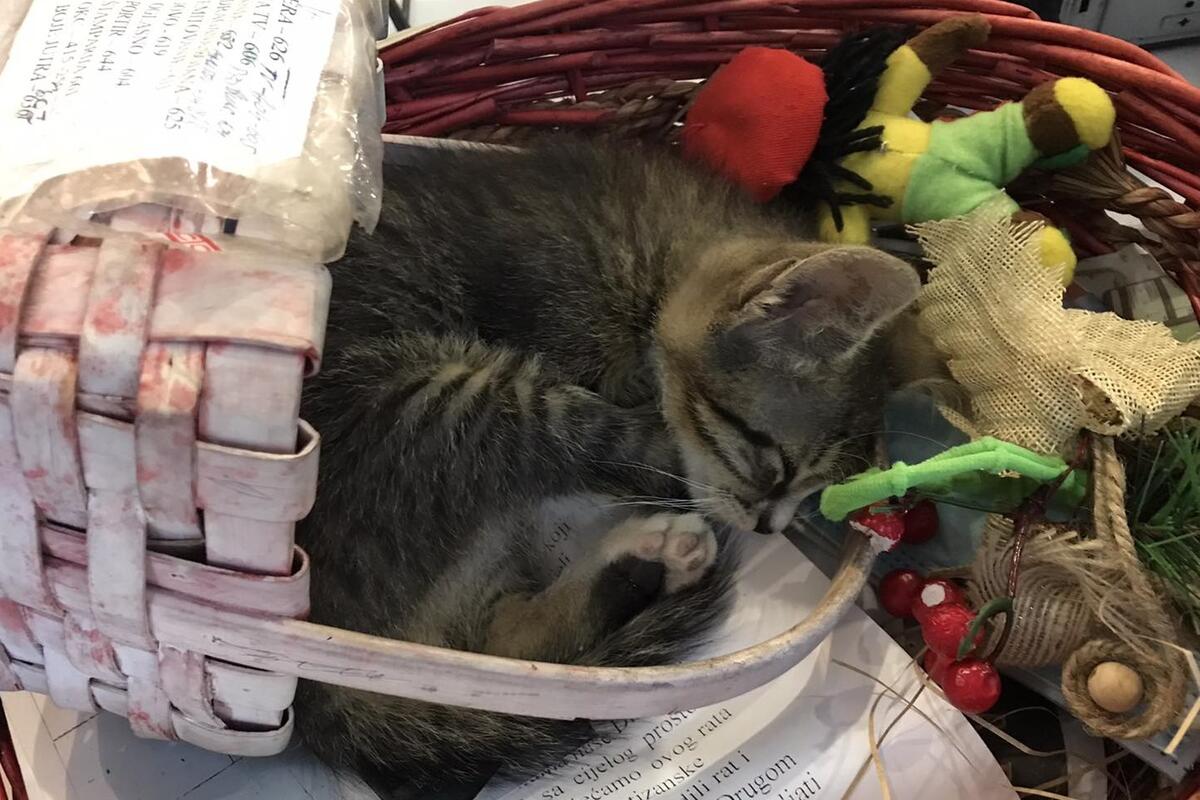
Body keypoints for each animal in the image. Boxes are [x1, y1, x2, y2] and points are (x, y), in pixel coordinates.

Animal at [294, 138, 921, 797]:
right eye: (774, 465)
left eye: (816, 488)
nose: (769, 528)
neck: (646, 265)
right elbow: (638, 442)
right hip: (423, 397)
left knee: (509, 656)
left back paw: (650, 560)